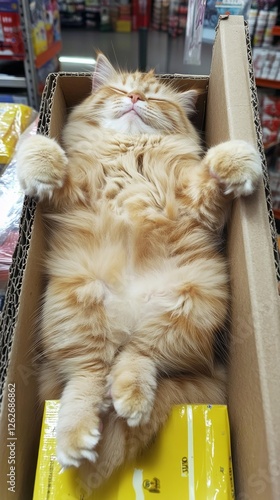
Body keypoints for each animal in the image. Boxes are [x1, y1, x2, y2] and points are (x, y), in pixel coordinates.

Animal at [16, 52, 262, 486]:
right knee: (87, 379)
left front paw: (239, 158)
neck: (130, 150)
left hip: (186, 304)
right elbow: (53, 161)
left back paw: (129, 401)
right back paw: (77, 438)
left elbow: (210, 172)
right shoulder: (76, 190)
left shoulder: (195, 201)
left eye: (155, 98)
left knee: (136, 359)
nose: (133, 98)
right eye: (120, 90)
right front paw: (39, 157)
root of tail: (124, 323)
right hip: (76, 306)